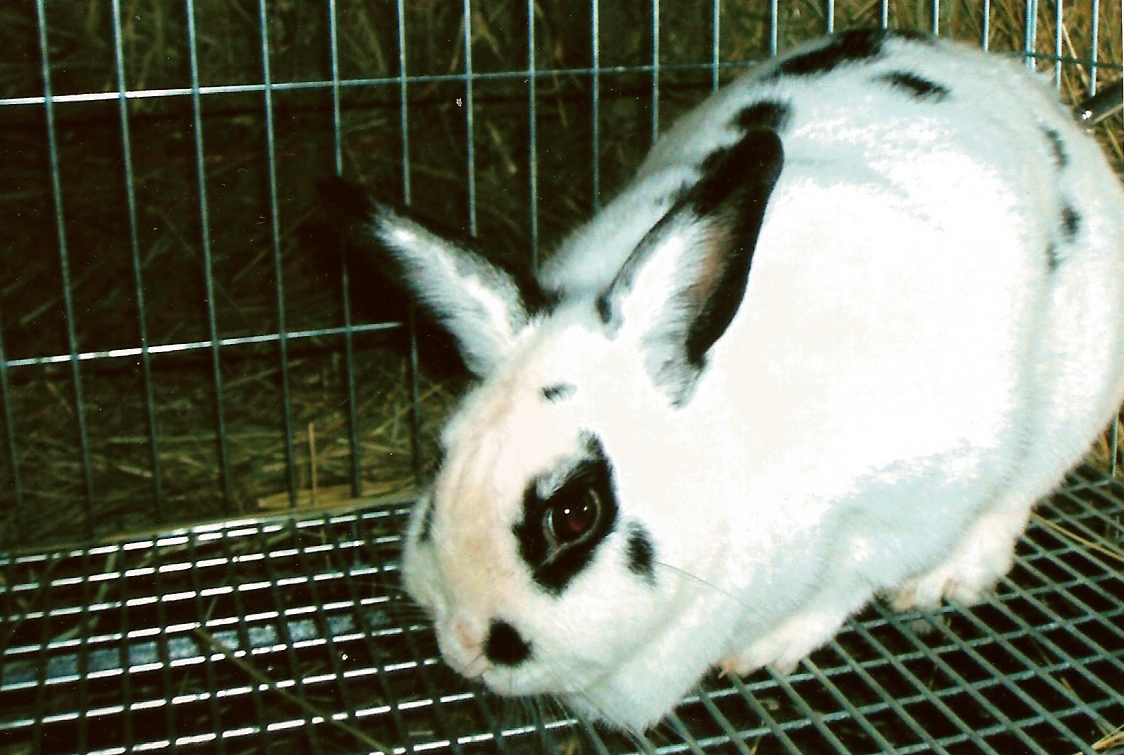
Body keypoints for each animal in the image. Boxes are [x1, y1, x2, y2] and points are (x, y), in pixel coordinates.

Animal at [321, 28, 1124, 732]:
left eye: (576, 512)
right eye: (439, 465)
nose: (463, 645)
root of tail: (1040, 100)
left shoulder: (914, 488)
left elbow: (851, 578)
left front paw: (771, 645)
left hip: (1068, 405)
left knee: (1015, 497)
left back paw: (948, 578)